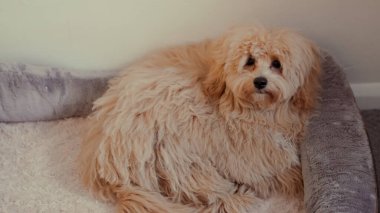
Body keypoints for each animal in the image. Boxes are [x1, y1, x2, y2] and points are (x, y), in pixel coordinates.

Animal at [79, 25, 320, 212]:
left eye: (276, 64)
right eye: (250, 61)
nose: (260, 82)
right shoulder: (242, 152)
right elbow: (272, 169)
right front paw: (294, 177)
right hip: (179, 153)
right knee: (205, 191)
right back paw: (236, 198)